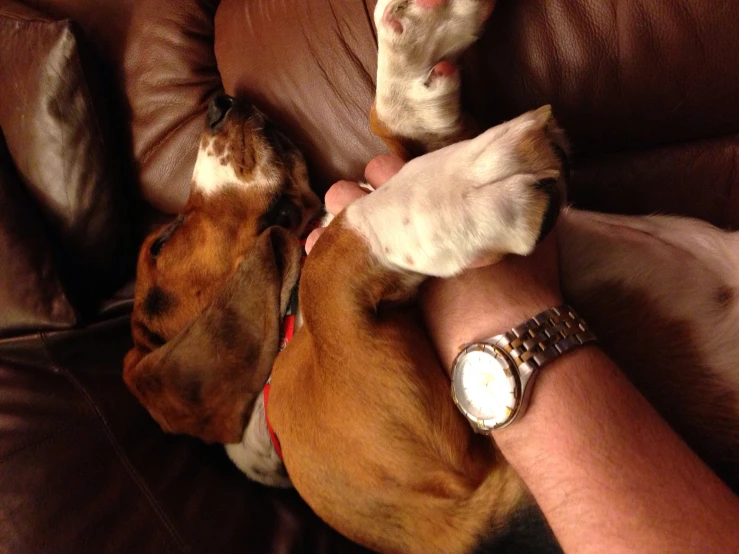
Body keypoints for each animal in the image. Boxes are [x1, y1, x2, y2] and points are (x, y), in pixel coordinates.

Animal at [123, 0, 739, 548]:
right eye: (165, 238)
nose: (219, 105)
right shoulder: (461, 482)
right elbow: (326, 265)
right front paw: (469, 191)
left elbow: (397, 132)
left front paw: (413, 42)